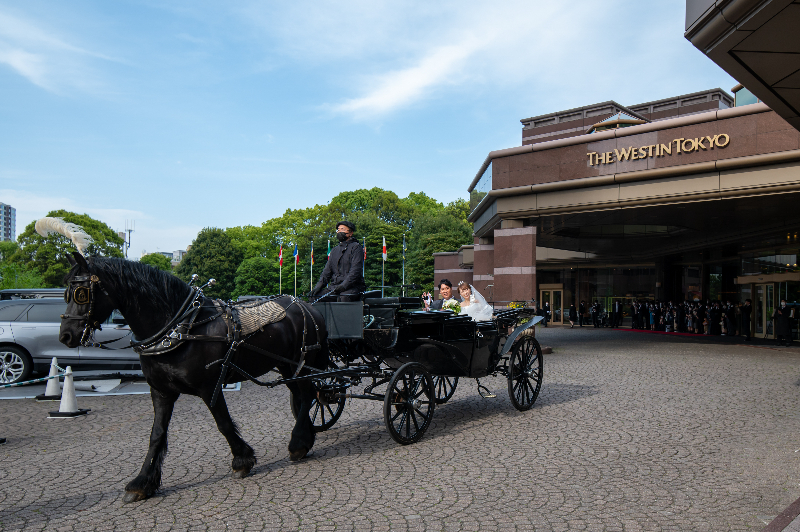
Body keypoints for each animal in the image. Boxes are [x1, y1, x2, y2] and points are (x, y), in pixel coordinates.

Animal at [57, 254, 328, 502]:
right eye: (66, 294)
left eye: (81, 293)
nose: (66, 336)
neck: (179, 329)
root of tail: (307, 305)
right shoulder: (161, 392)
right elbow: (156, 435)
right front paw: (143, 482)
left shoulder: (210, 387)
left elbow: (223, 424)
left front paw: (242, 459)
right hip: (287, 366)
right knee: (302, 397)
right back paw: (305, 438)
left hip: (300, 363)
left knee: (308, 395)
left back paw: (298, 443)